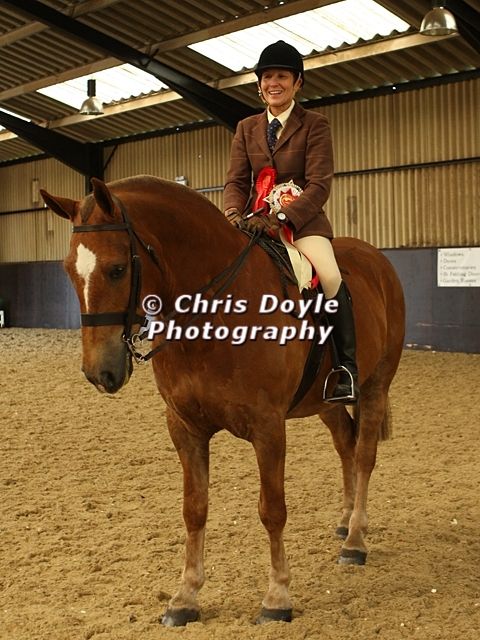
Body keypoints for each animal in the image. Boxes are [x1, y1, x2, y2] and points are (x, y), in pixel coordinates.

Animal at [41, 175, 405, 626]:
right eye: (68, 271)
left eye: (117, 269)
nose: (99, 373)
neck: (214, 313)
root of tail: (377, 259)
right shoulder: (184, 428)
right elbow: (194, 509)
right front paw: (185, 598)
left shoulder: (268, 428)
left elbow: (272, 509)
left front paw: (277, 597)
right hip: (328, 400)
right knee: (345, 445)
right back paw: (344, 521)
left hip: (375, 384)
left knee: (365, 454)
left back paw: (355, 539)